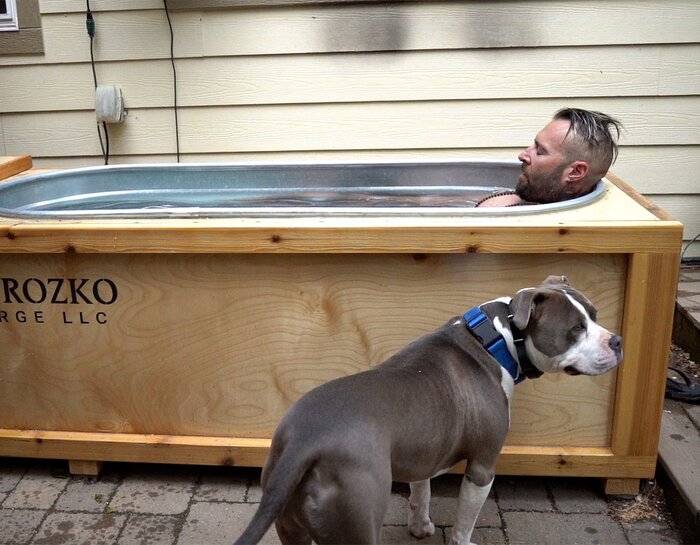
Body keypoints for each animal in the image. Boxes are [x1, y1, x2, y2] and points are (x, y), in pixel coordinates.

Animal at [235, 276, 624, 544]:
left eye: (594, 315)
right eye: (576, 329)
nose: (617, 340)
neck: (495, 340)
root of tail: (304, 444)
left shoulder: (424, 453)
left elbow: (420, 493)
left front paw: (420, 527)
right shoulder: (483, 466)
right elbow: (465, 521)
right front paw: (462, 541)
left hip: (290, 520)